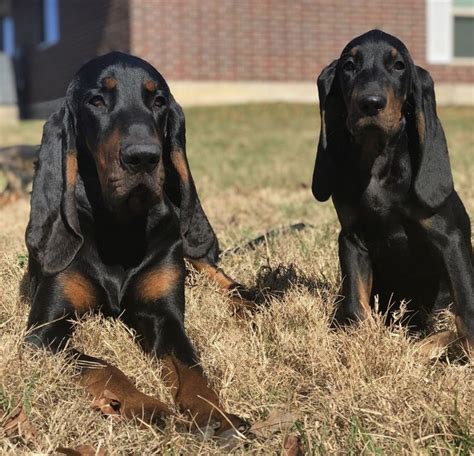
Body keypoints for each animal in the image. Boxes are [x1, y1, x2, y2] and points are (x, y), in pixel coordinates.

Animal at [24, 53, 250, 438]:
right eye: (96, 100)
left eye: (158, 101)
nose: (143, 157)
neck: (120, 230)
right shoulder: (44, 331)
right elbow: (101, 365)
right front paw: (146, 405)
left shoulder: (164, 317)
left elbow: (192, 368)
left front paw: (214, 415)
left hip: (189, 244)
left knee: (219, 274)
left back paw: (246, 304)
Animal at [312, 30, 472, 354]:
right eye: (349, 66)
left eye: (399, 66)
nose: (370, 103)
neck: (378, 162)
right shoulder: (352, 238)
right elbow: (356, 304)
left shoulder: (450, 238)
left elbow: (466, 310)